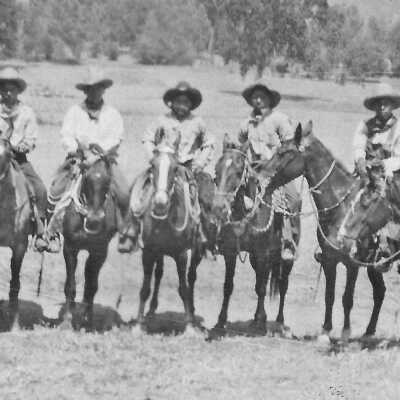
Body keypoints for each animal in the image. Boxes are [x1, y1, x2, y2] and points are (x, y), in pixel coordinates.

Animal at [62, 146, 119, 330]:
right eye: (86, 177)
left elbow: (92, 286)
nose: (94, 219)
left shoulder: (99, 252)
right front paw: (67, 319)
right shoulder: (70, 248)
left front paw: (87, 320)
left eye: (108, 180)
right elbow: (70, 285)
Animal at [135, 148, 199, 331]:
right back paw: (151, 311)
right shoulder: (148, 252)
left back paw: (192, 313)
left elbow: (183, 289)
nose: (160, 203)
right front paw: (138, 324)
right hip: (159, 253)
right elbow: (145, 288)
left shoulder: (182, 254)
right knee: (158, 274)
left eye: (175, 168)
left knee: (191, 277)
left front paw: (189, 326)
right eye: (152, 165)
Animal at [211, 135, 295, 336]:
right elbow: (228, 286)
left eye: (238, 171)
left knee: (283, 285)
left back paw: (279, 322)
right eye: (216, 171)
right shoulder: (231, 252)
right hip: (256, 259)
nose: (218, 208)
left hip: (285, 258)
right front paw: (220, 321)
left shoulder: (263, 253)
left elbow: (262, 288)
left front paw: (260, 322)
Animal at [259, 121, 386, 339]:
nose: (261, 174)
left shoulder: (352, 263)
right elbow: (330, 295)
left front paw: (345, 332)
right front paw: (326, 330)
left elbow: (347, 298)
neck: (342, 206)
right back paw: (369, 332)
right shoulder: (329, 259)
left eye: (284, 153)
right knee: (380, 292)